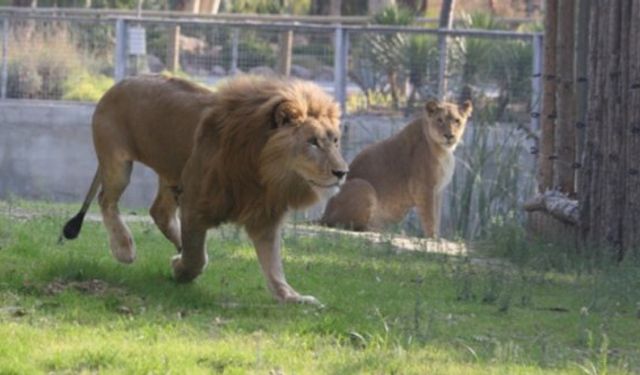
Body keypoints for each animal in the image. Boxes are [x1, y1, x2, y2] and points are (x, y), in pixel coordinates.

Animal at [62, 75, 348, 306]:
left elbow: (273, 265)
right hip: (118, 164)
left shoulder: (264, 217)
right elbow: (196, 256)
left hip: (173, 173)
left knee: (159, 212)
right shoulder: (195, 203)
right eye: (312, 142)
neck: (264, 173)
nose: (342, 172)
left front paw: (291, 297)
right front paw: (181, 270)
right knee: (106, 200)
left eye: (335, 141)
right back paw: (124, 248)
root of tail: (118, 83)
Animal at [322, 100, 472, 238]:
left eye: (457, 121)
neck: (445, 151)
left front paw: (438, 237)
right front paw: (433, 239)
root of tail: (324, 215)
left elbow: (437, 216)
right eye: (440, 120)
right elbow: (430, 217)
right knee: (348, 226)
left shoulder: (437, 191)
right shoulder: (423, 188)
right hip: (363, 186)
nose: (449, 135)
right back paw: (379, 231)